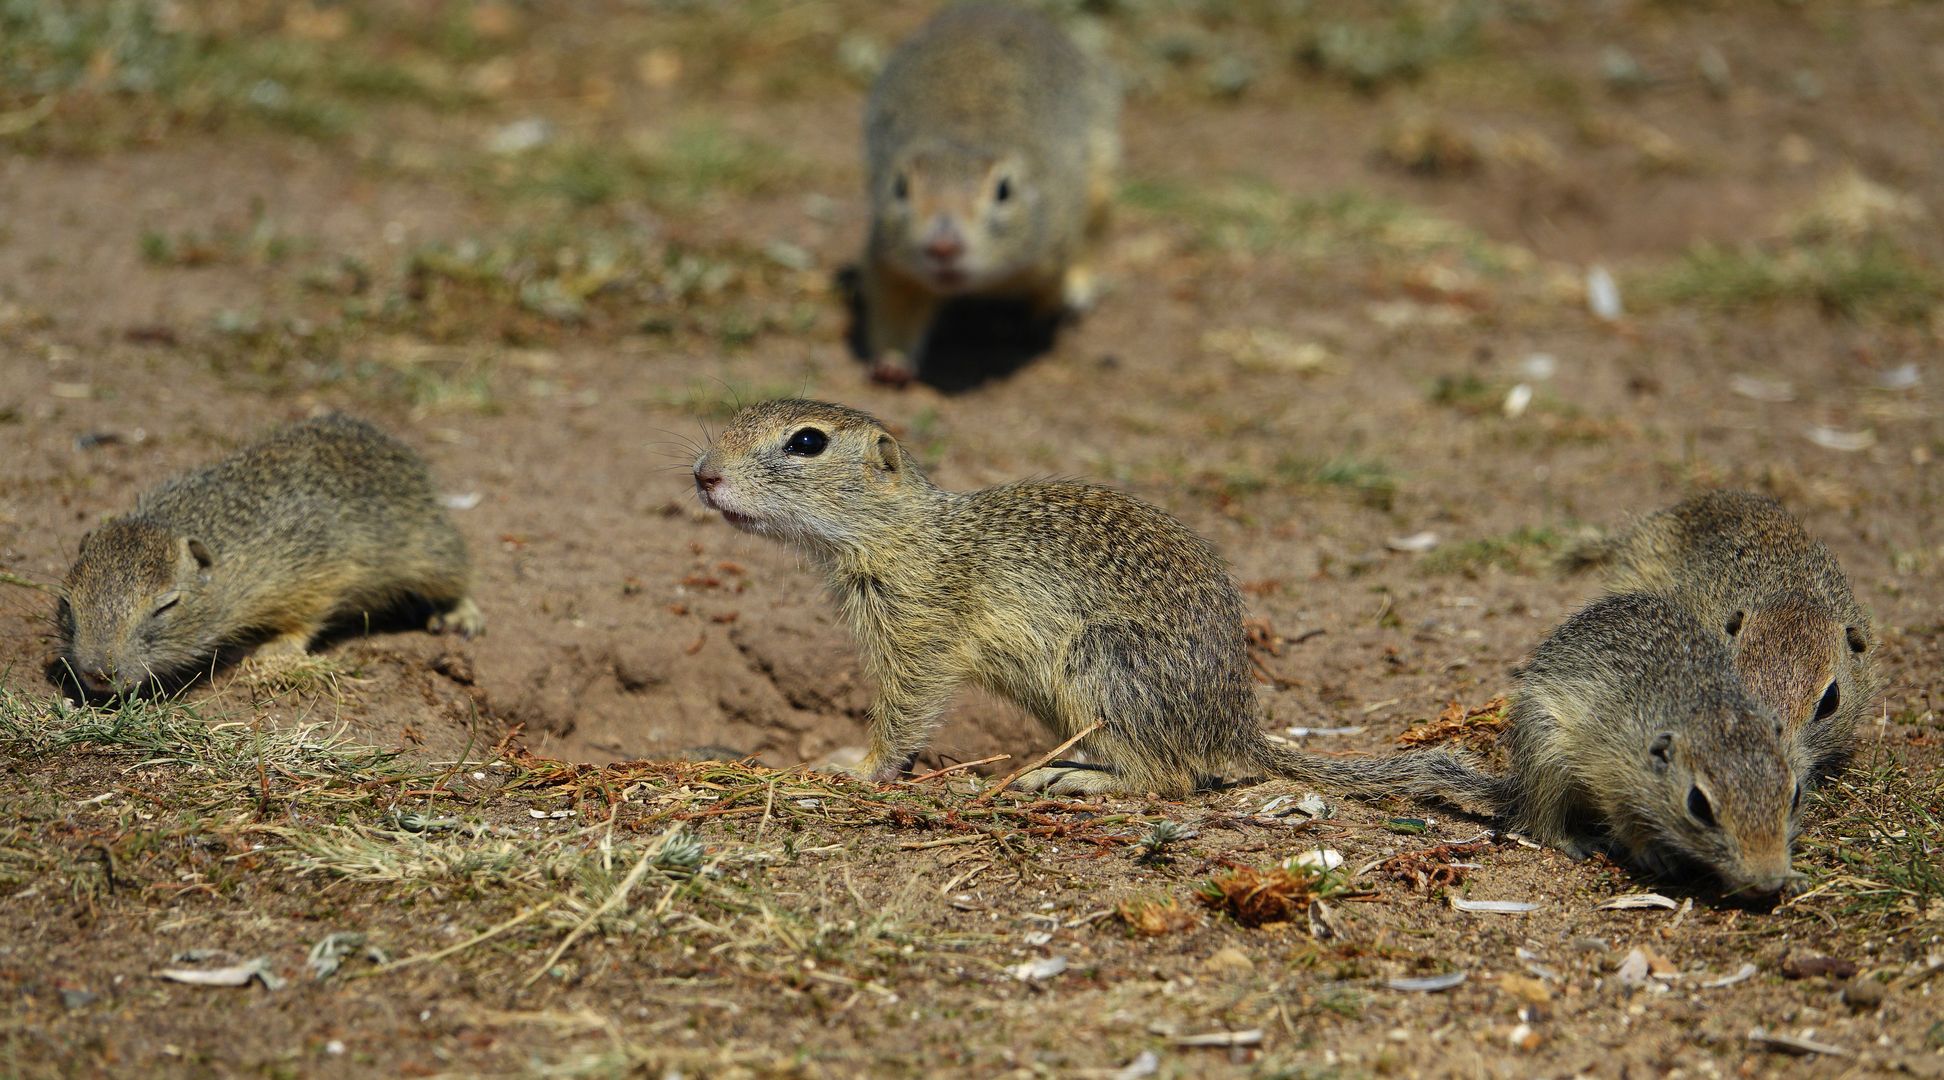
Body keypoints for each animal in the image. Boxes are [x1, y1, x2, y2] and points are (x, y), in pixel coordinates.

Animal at [58, 413, 484, 699]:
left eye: (167, 605)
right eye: (68, 603)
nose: (98, 672)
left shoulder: (317, 566)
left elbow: (307, 615)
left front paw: (275, 650)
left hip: (432, 551)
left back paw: (459, 614)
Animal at [688, 400, 1469, 796]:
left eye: (806, 442)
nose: (704, 474)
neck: (902, 529)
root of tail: (1235, 727)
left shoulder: (921, 628)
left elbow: (908, 709)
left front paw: (859, 768)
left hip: (1104, 663)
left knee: (1169, 779)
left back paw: (1069, 779)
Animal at [859, 2, 1119, 384]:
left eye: (1004, 191)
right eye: (900, 188)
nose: (943, 247)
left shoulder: (1055, 243)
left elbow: (1050, 289)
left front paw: (1039, 322)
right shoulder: (890, 263)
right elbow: (894, 311)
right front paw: (892, 364)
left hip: (1101, 180)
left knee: (1094, 236)